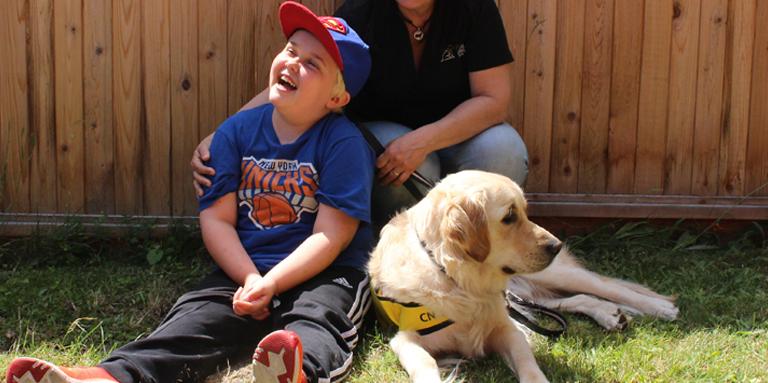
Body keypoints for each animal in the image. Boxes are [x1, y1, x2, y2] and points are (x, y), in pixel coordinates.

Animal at [368, 172, 676, 383]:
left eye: (526, 212)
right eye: (509, 216)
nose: (556, 245)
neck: (458, 280)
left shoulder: (505, 328)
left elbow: (527, 362)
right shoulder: (404, 339)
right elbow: (425, 363)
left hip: (553, 275)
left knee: (605, 286)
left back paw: (660, 307)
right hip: (522, 293)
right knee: (573, 300)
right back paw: (611, 315)